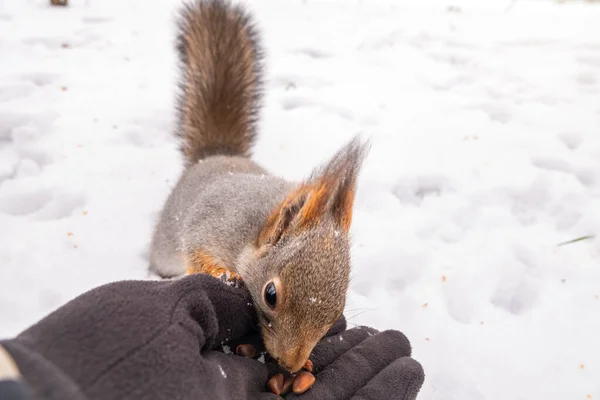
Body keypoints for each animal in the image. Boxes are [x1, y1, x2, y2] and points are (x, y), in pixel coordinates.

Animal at [148, 0, 368, 376]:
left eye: (338, 310)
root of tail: (217, 155)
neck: (252, 231)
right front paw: (224, 274)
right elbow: (197, 253)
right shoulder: (210, 224)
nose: (291, 365)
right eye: (270, 295)